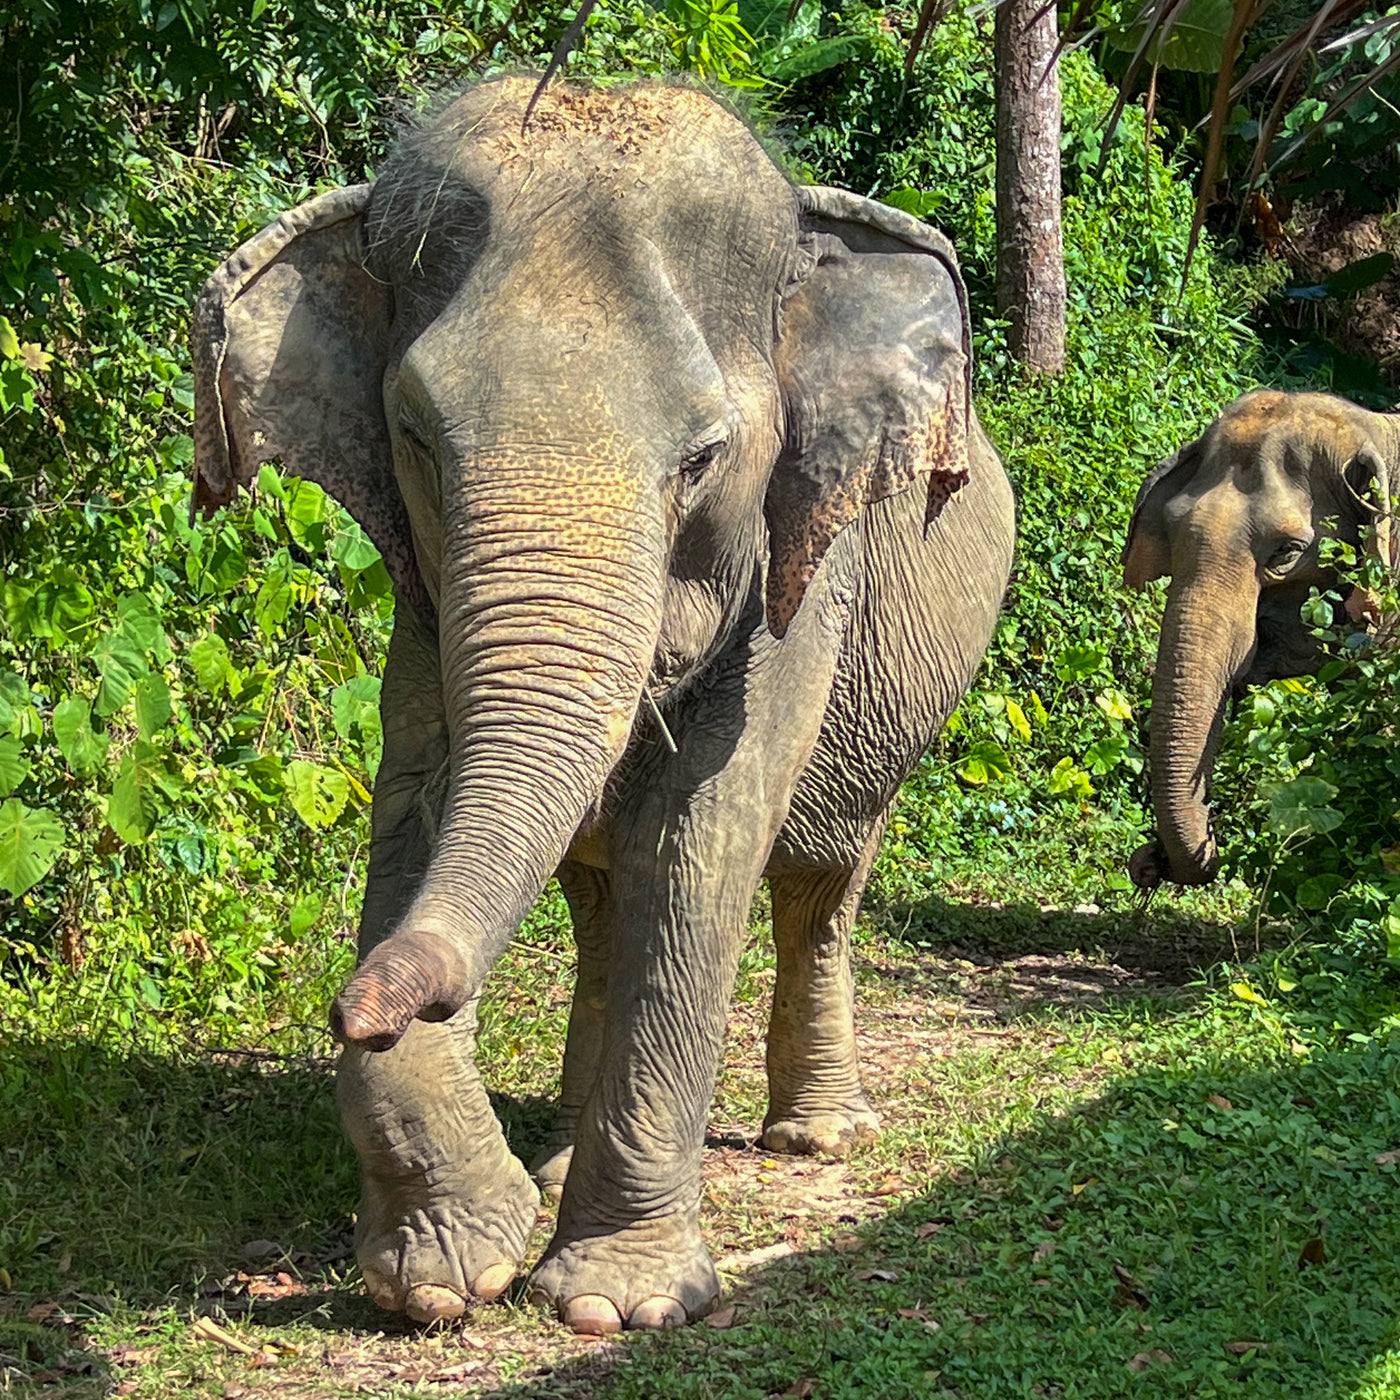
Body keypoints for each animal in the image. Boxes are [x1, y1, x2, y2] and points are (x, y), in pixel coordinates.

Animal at [189, 76, 1019, 1332]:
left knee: (817, 878)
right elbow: (417, 809)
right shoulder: (425, 611)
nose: (357, 1004)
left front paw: (611, 1305)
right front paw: (446, 1274)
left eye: (705, 455)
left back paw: (814, 1134)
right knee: (596, 894)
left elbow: (697, 842)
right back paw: (556, 1156)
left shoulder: (798, 588)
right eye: (415, 436)